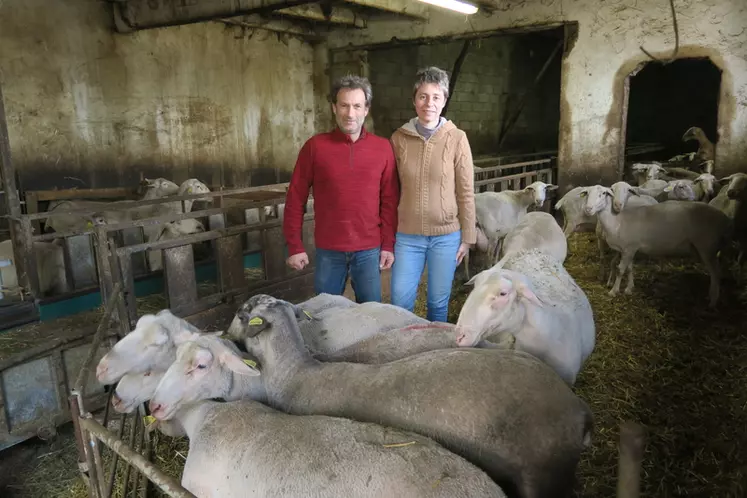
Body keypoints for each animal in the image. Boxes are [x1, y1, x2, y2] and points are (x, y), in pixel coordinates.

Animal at [580, 184, 728, 308]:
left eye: (604, 193)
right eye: (587, 193)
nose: (588, 209)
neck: (618, 221)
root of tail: (725, 218)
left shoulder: (629, 248)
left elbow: (620, 269)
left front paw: (614, 291)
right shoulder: (629, 249)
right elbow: (629, 268)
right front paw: (629, 288)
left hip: (707, 247)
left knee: (716, 272)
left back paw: (713, 301)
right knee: (715, 272)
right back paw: (710, 296)